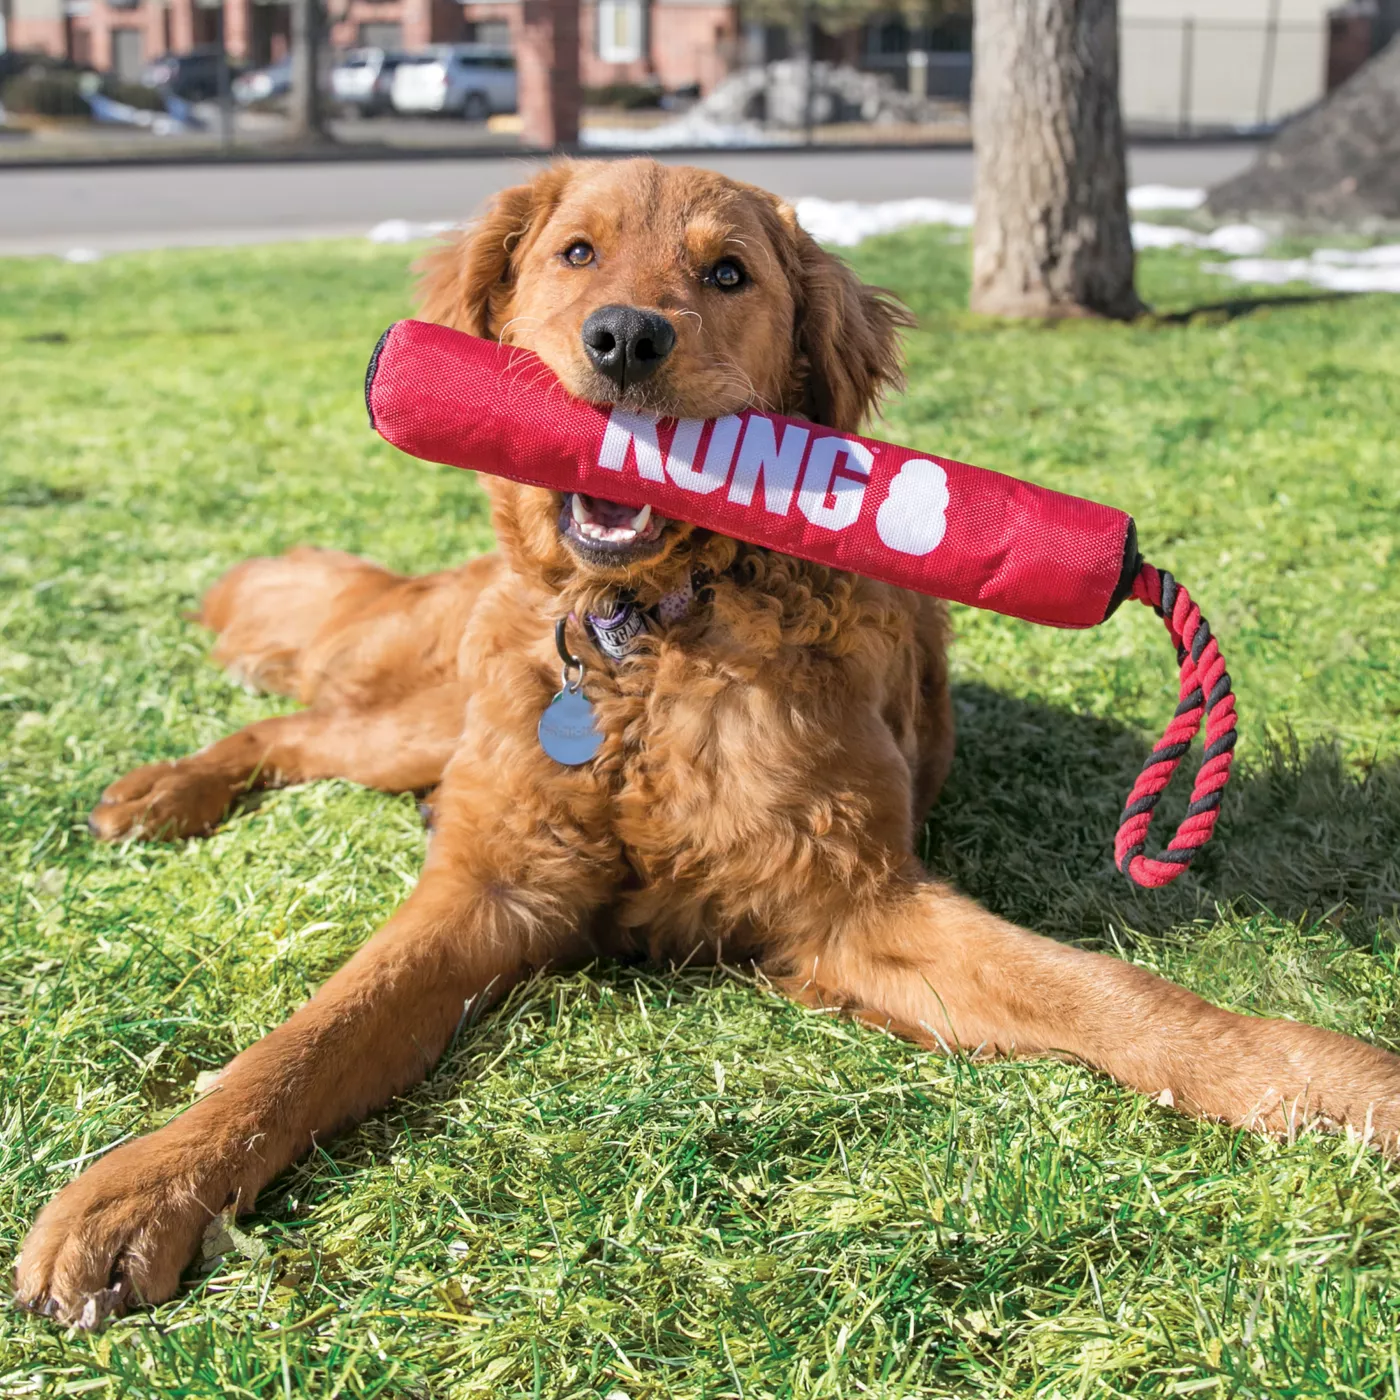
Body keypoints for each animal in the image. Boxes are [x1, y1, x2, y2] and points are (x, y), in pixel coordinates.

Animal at [13, 158, 1400, 1327]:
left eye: (728, 273)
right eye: (575, 253)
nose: (626, 336)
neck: (645, 646)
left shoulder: (856, 904)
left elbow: (1129, 1000)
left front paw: (1341, 1085)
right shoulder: (493, 882)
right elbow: (302, 1041)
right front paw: (139, 1186)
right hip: (429, 718)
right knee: (291, 721)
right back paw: (161, 790)